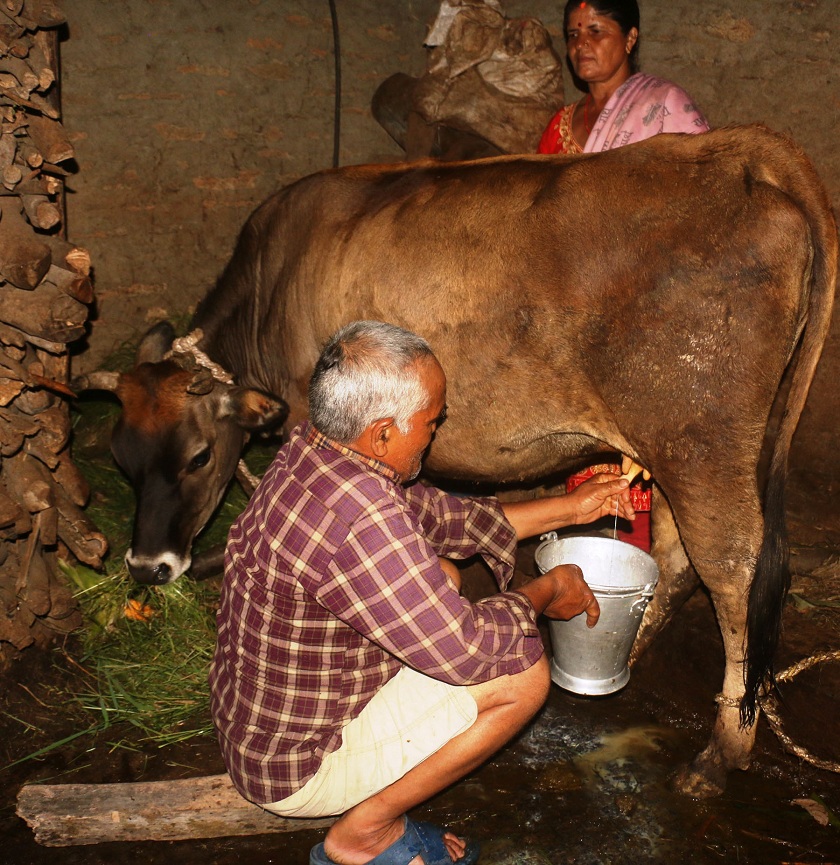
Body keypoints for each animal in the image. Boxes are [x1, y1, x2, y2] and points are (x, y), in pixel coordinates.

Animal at [77, 123, 832, 796]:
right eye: (121, 458)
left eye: (199, 456)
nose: (146, 566)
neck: (274, 286)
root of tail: (742, 150)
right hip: (678, 449)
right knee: (677, 559)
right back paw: (632, 646)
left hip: (701, 443)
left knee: (731, 571)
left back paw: (721, 751)